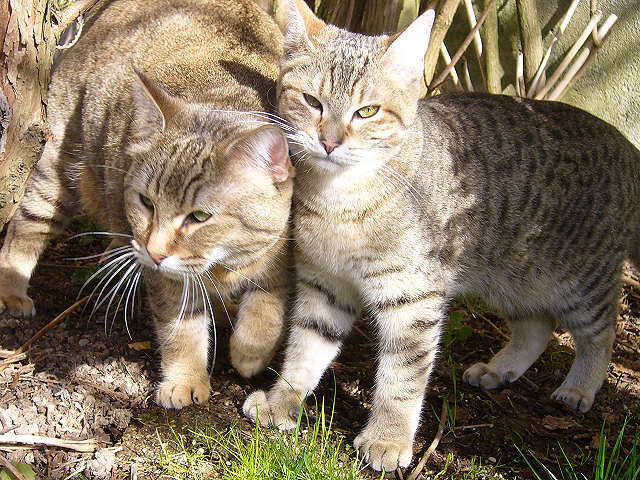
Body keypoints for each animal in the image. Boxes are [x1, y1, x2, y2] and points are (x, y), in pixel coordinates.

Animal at [0, 0, 294, 408]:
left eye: (199, 216)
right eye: (146, 202)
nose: (153, 252)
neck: (223, 265)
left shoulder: (280, 251)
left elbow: (271, 301)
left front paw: (251, 350)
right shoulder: (168, 278)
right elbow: (181, 327)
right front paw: (186, 378)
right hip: (56, 166)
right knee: (26, 226)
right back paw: (11, 289)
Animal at [242, 0, 640, 472]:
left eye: (367, 111)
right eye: (311, 101)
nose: (330, 142)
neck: (339, 202)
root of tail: (623, 142)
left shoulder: (412, 297)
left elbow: (401, 377)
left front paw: (388, 438)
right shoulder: (325, 285)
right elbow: (304, 349)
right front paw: (282, 400)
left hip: (581, 283)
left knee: (602, 333)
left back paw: (580, 386)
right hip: (512, 280)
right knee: (537, 327)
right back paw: (500, 367)